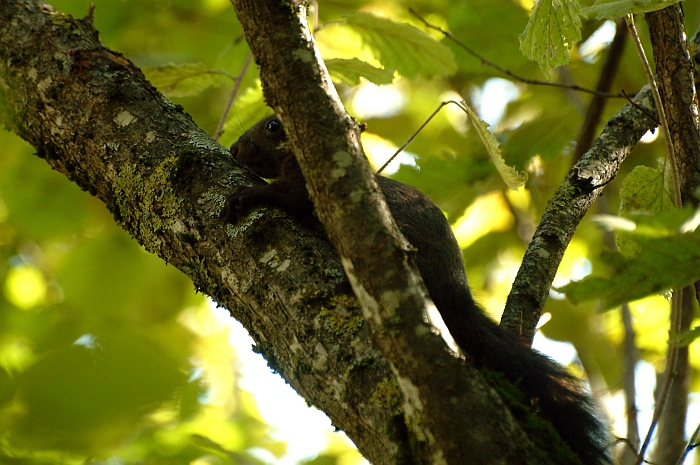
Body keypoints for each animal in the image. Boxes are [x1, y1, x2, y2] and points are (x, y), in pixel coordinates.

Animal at [220, 114, 612, 462]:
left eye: (273, 125)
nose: (234, 148)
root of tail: (456, 293)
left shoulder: (309, 188)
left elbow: (287, 196)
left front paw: (248, 194)